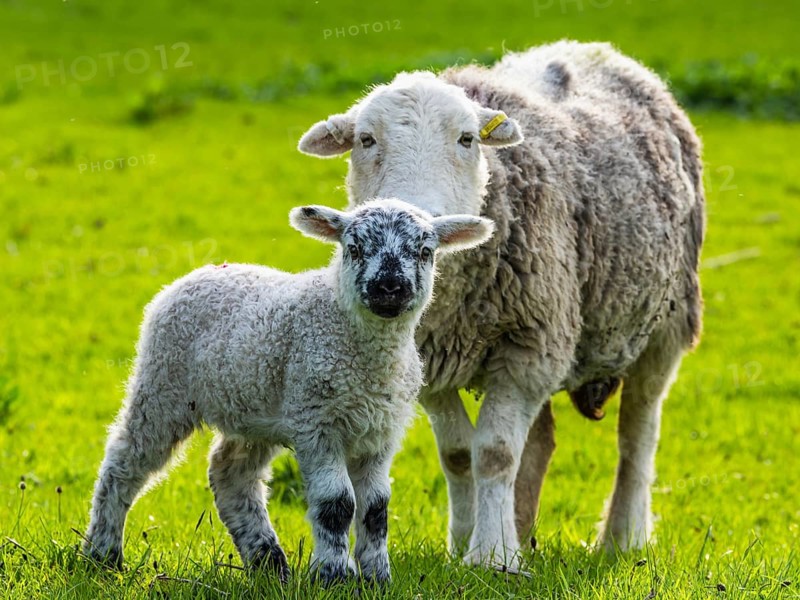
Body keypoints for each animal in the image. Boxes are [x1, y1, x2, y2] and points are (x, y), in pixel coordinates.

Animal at [82, 198, 494, 584]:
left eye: (425, 252)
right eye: (354, 248)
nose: (389, 287)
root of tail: (201, 272)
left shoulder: (381, 432)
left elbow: (376, 508)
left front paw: (377, 578)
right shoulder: (318, 422)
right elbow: (337, 504)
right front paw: (333, 576)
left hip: (254, 409)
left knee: (231, 474)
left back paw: (268, 563)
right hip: (163, 383)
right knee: (124, 461)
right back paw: (101, 555)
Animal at [298, 40, 705, 569]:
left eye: (467, 139)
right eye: (366, 139)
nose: (418, 216)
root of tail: (592, 48)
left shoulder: (530, 348)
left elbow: (493, 453)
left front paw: (491, 557)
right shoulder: (428, 359)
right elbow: (457, 454)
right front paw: (465, 543)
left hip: (665, 322)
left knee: (637, 433)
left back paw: (623, 536)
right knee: (542, 440)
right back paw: (523, 529)